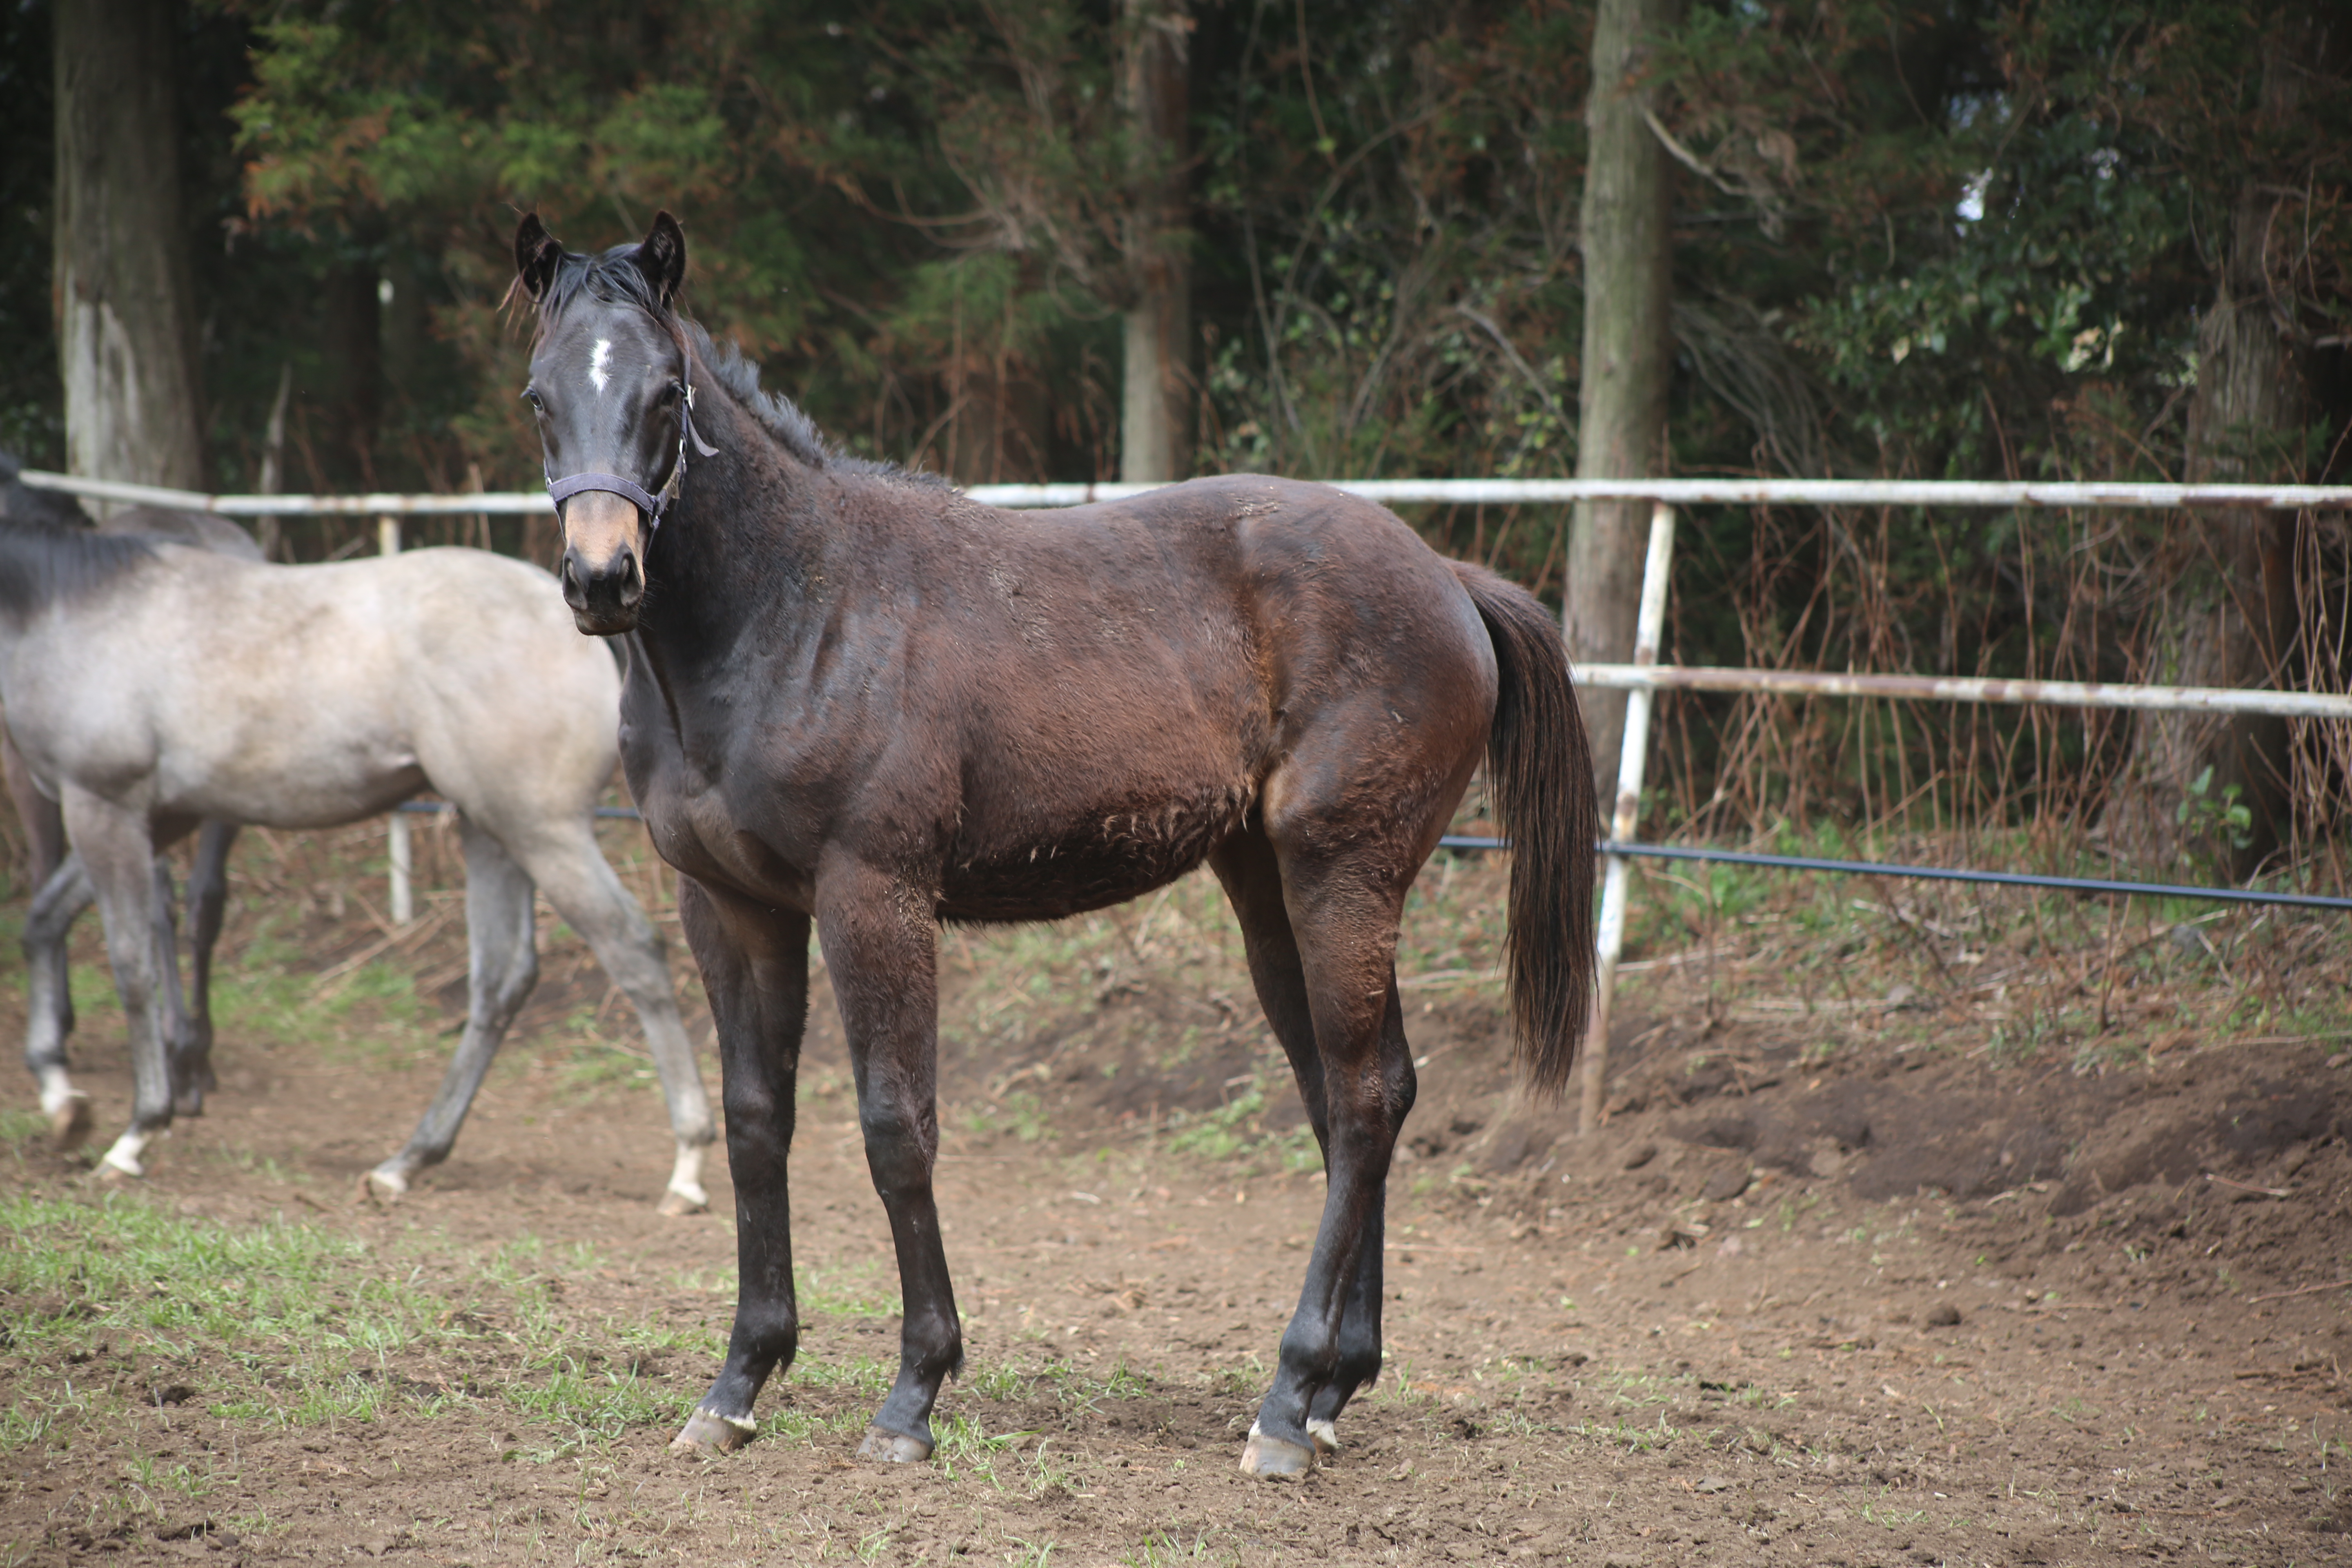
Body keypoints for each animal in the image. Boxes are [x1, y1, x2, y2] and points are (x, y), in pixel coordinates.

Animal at [0, 496, 715, 1213]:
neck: (74, 608)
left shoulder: (103, 805)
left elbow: (130, 966)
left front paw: (136, 1132)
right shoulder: (153, 816)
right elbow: (43, 923)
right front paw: (60, 1096)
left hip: (543, 832)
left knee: (632, 950)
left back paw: (688, 1162)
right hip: (491, 829)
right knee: (500, 980)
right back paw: (410, 1159)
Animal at [512, 215, 1599, 1476]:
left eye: (664, 391)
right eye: (540, 397)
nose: (602, 579)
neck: (790, 611)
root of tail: (1449, 582)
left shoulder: (871, 895)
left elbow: (895, 1126)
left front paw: (913, 1394)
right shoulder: (730, 906)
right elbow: (752, 1124)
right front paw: (737, 1383)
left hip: (1346, 877)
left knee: (1365, 1099)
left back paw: (1284, 1405)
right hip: (1269, 888)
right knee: (1354, 1099)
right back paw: (1334, 1388)